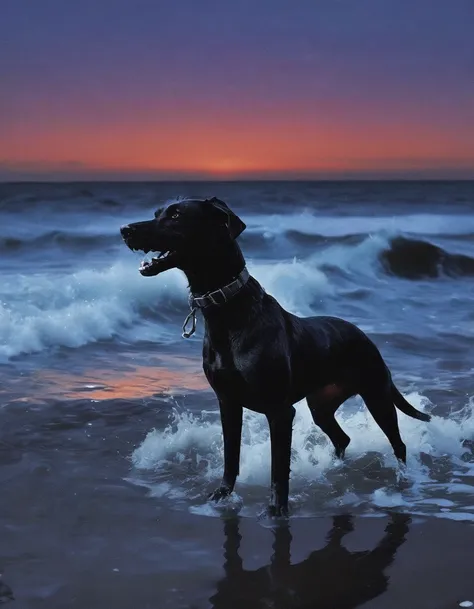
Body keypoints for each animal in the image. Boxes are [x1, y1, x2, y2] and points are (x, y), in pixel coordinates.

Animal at [120, 197, 432, 516]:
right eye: (157, 213)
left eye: (176, 215)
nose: (125, 230)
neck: (228, 310)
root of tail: (366, 338)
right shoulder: (227, 401)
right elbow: (231, 456)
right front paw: (223, 494)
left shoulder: (280, 411)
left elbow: (279, 469)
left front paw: (277, 510)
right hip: (321, 404)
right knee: (341, 437)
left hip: (376, 394)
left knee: (398, 443)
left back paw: (402, 481)